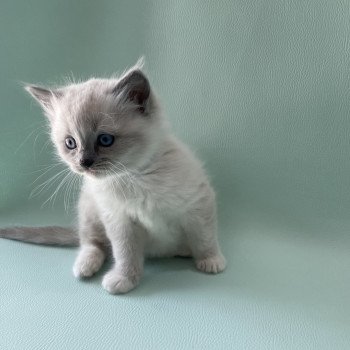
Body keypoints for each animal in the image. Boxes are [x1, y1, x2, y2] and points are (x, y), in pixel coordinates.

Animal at [0, 61, 226, 294]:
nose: (84, 162)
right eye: (70, 143)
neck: (135, 177)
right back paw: (84, 266)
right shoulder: (119, 219)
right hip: (89, 208)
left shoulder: (198, 204)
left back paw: (185, 250)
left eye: (105, 140)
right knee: (92, 243)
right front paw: (124, 279)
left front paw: (211, 261)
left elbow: (205, 238)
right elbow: (125, 253)